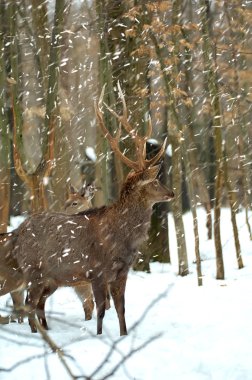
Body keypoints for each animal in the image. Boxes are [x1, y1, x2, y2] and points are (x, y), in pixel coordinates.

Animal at [9, 84, 174, 336]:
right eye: (154, 182)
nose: (172, 193)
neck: (121, 238)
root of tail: (18, 232)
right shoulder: (96, 271)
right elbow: (101, 309)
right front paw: (99, 335)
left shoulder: (122, 272)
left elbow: (120, 308)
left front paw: (123, 335)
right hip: (34, 270)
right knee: (29, 303)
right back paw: (38, 334)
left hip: (52, 279)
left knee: (37, 303)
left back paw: (45, 330)